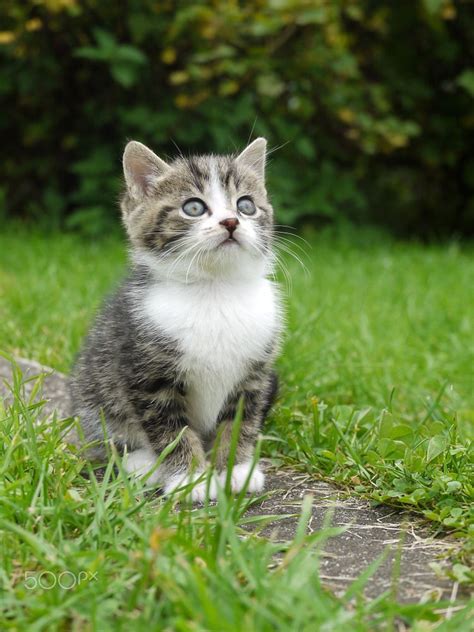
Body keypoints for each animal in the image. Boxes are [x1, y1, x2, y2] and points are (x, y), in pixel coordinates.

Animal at [70, 138, 282, 498]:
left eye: (246, 206)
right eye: (193, 208)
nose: (231, 222)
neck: (214, 290)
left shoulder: (254, 373)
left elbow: (241, 421)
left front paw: (235, 469)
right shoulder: (148, 374)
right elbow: (171, 429)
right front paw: (190, 478)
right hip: (91, 392)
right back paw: (144, 463)